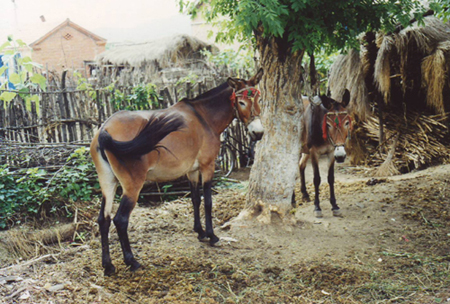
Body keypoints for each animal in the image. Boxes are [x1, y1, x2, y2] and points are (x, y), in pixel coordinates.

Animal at [91, 69, 264, 276]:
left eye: (259, 99)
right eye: (242, 102)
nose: (258, 133)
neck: (203, 117)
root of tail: (105, 129)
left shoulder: (192, 171)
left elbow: (195, 199)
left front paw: (200, 232)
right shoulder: (207, 166)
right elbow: (207, 201)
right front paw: (211, 235)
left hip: (108, 183)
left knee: (104, 219)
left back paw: (108, 265)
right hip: (132, 187)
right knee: (120, 220)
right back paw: (131, 261)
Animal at [298, 89, 354, 217]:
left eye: (347, 122)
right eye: (328, 124)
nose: (341, 156)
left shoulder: (331, 152)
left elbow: (331, 178)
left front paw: (334, 205)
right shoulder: (314, 153)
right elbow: (317, 179)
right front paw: (317, 207)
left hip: (305, 151)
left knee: (301, 166)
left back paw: (304, 194)